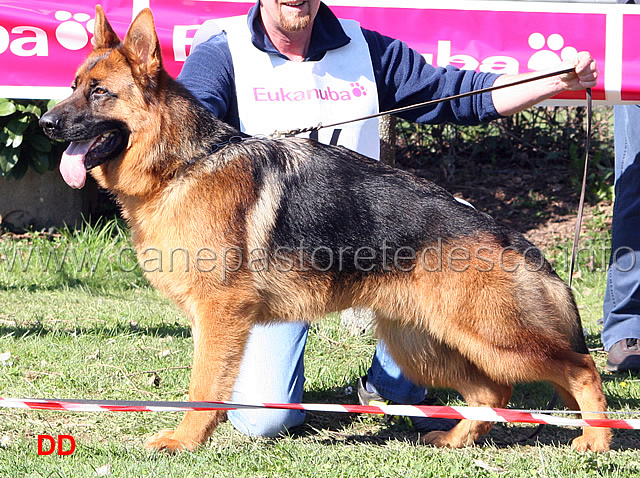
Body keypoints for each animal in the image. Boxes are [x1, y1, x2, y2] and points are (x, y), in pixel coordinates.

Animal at [38, 5, 608, 452]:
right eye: (72, 87)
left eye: (99, 93)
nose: (44, 124)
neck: (182, 165)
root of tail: (508, 234)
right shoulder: (210, 319)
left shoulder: (220, 314)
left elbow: (202, 386)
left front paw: (184, 441)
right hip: (425, 344)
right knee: (493, 394)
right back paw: (455, 437)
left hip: (494, 339)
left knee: (580, 368)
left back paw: (597, 439)